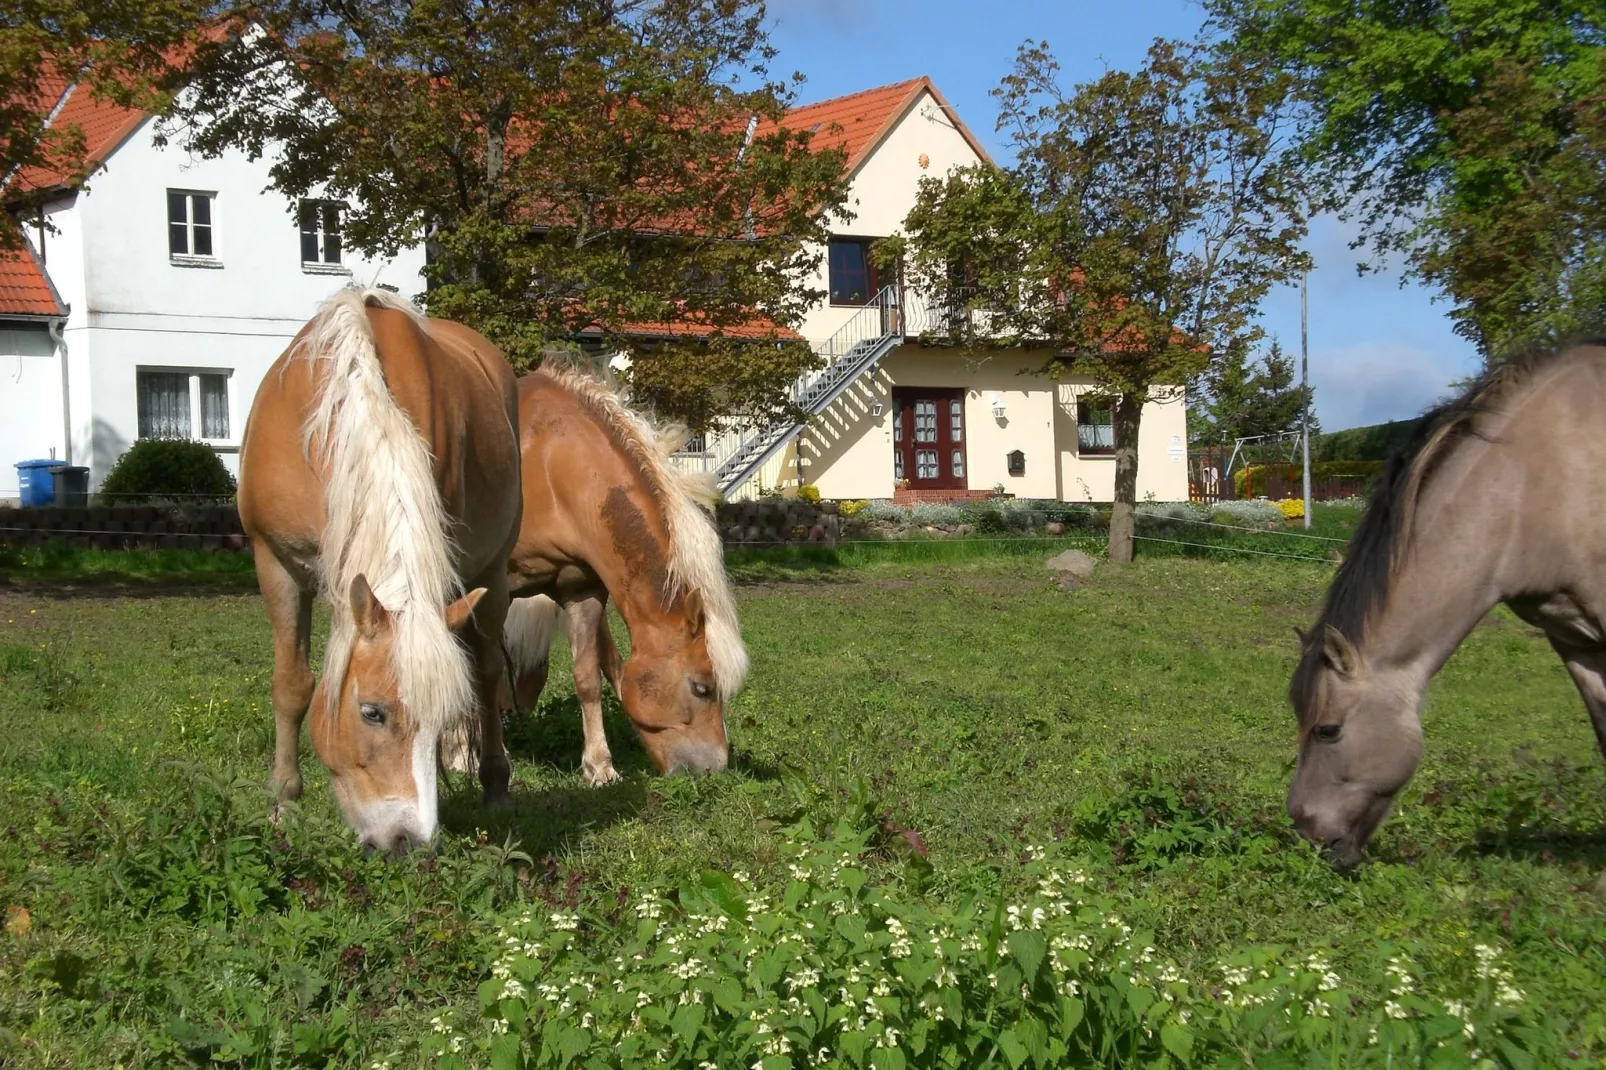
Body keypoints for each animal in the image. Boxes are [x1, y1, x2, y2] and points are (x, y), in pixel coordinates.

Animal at [237, 287, 520, 854]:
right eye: (372, 712)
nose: (408, 840)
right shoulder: (274, 562)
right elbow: (293, 684)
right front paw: (283, 802)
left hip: (492, 573)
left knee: (485, 672)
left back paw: (495, 785)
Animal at [497, 363, 748, 780]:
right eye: (702, 688)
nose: (717, 768)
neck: (548, 464)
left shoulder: (581, 588)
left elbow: (589, 676)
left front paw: (600, 766)